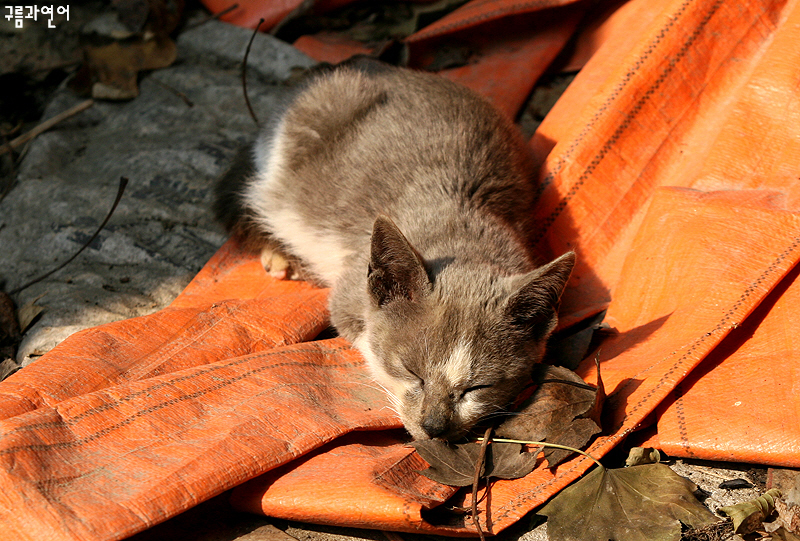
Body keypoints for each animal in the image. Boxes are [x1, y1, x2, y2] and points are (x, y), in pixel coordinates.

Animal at [216, 58, 572, 438]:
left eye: (477, 388)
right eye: (412, 372)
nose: (434, 427)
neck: (462, 232)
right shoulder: (349, 288)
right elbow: (359, 331)